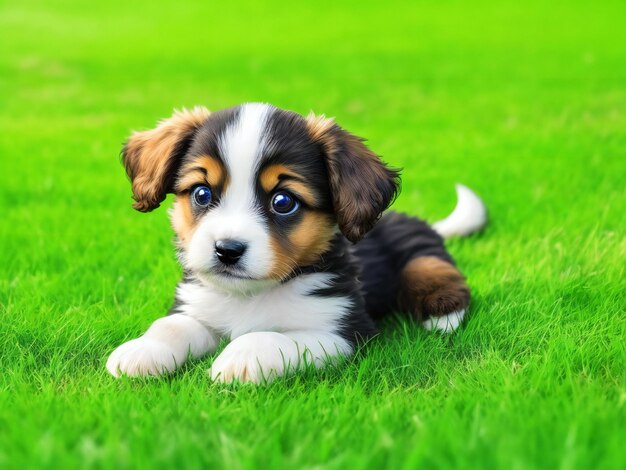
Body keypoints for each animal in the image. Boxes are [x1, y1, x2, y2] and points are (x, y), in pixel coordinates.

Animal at [107, 102, 486, 382]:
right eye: (202, 193)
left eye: (283, 201)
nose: (227, 251)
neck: (252, 296)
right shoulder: (198, 307)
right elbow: (170, 326)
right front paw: (142, 350)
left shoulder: (341, 331)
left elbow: (275, 338)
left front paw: (240, 356)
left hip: (422, 256)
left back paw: (441, 316)